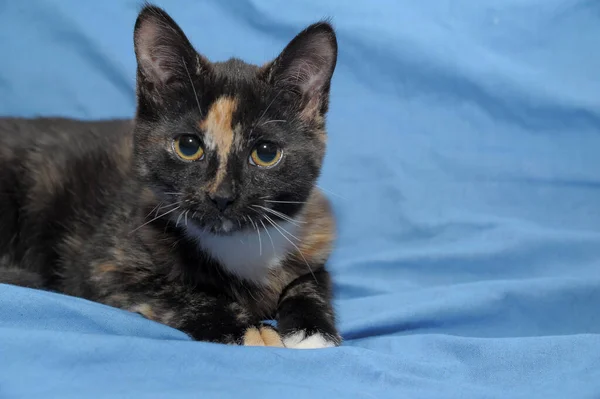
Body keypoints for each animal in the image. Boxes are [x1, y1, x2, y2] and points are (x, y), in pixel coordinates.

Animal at [0, 3, 340, 350]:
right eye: (187, 146)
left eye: (266, 153)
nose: (221, 196)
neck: (239, 245)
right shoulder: (104, 265)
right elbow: (178, 291)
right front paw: (249, 331)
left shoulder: (314, 236)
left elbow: (313, 281)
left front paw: (311, 330)